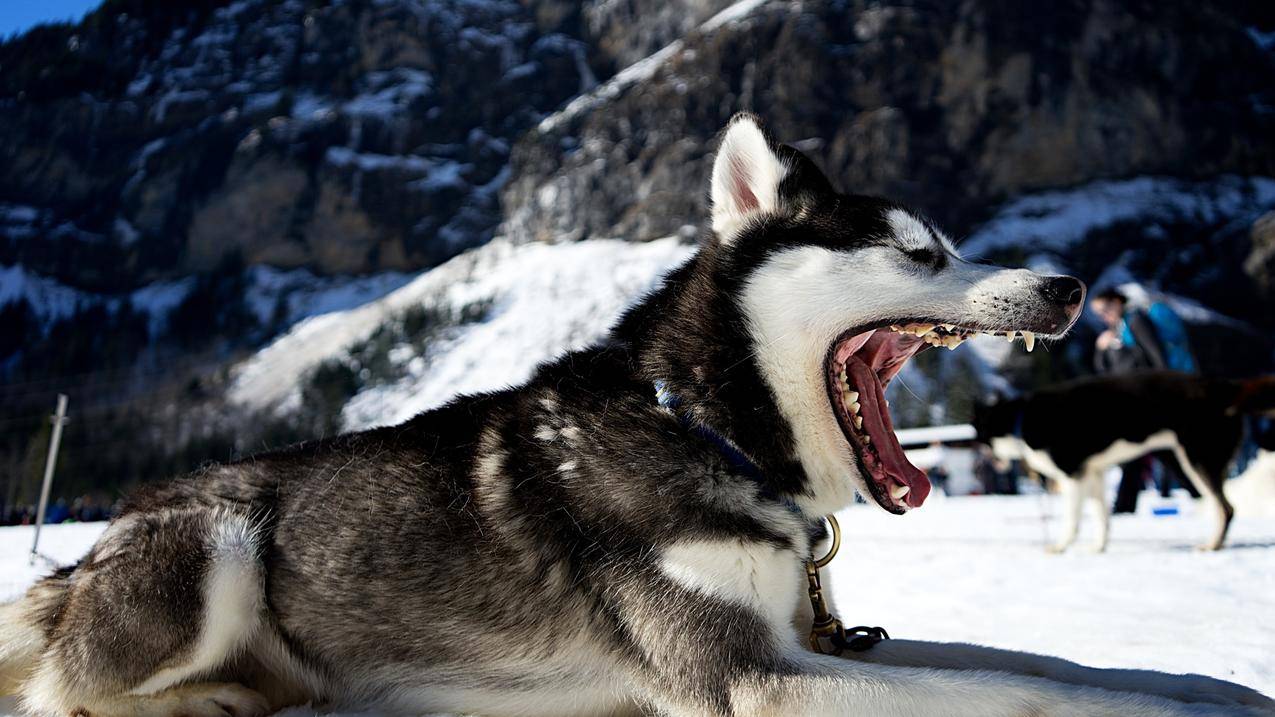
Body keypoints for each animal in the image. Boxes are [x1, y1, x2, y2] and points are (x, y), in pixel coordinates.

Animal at [974, 369, 1275, 548]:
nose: (979, 453)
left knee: (1226, 509)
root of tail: (1223, 386)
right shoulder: (1094, 473)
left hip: (1196, 461)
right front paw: (1098, 548)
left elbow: (1072, 519)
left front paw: (1061, 547)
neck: (1021, 418)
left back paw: (1212, 545)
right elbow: (1101, 517)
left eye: (980, 432)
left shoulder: (1073, 477)